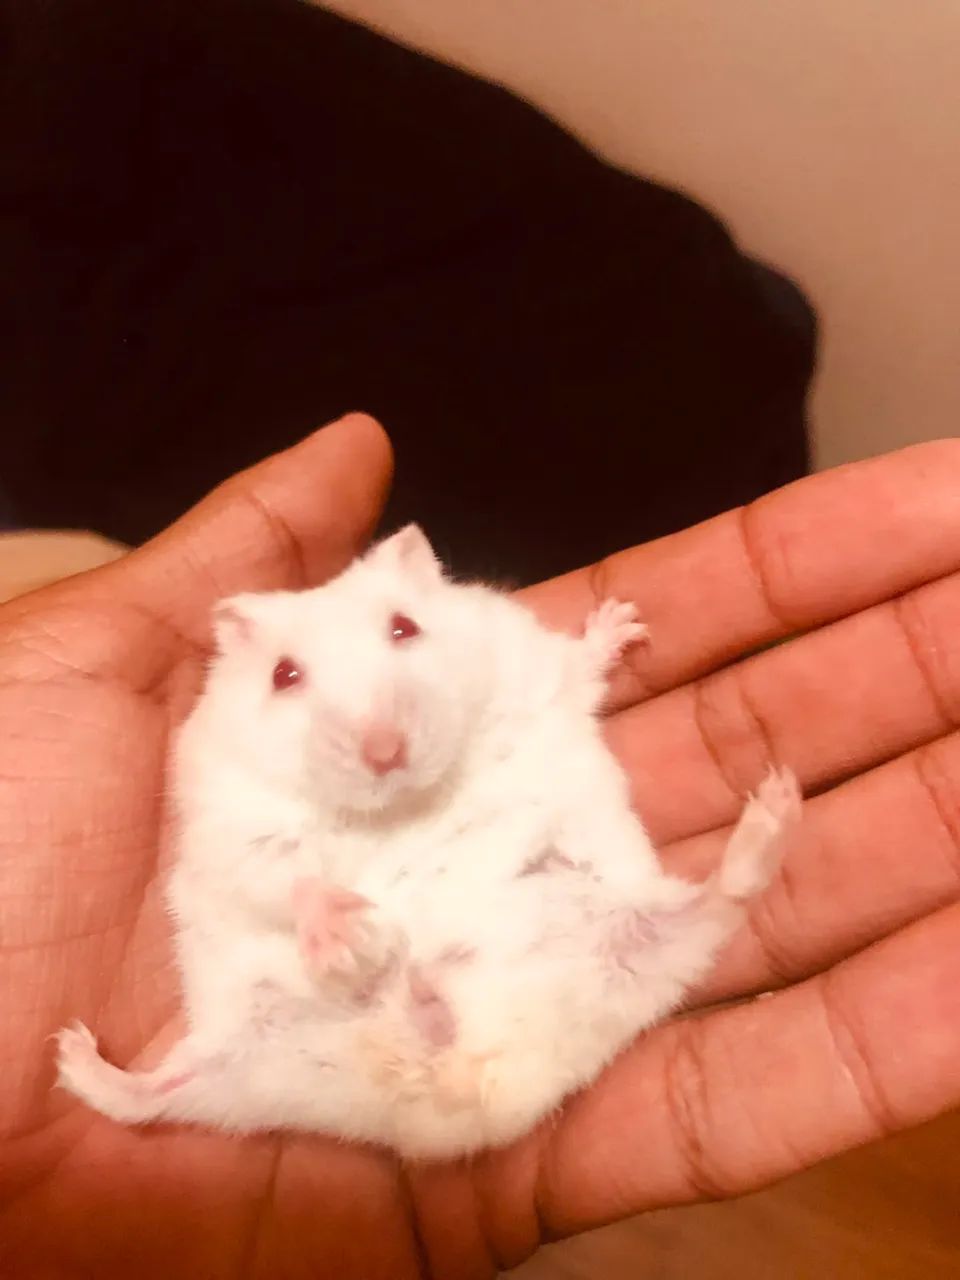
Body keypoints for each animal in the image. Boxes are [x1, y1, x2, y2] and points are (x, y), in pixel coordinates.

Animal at [55, 524, 801, 1159]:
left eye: (404, 627)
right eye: (282, 675)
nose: (385, 751)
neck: (403, 806)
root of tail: (460, 1085)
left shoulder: (539, 671)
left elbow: (579, 664)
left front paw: (624, 621)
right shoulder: (236, 827)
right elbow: (290, 878)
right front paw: (353, 941)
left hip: (634, 938)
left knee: (720, 903)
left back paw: (774, 807)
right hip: (239, 1059)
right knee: (150, 1099)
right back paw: (72, 1051)